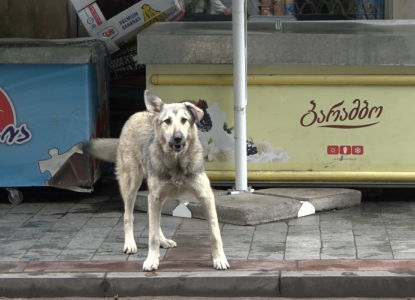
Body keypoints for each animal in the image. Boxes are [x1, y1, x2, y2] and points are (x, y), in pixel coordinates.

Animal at [88, 90, 231, 270]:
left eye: (184, 120)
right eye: (167, 121)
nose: (177, 138)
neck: (177, 163)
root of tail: (138, 113)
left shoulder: (205, 196)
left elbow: (214, 233)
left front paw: (219, 259)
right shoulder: (154, 197)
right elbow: (152, 236)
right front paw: (151, 260)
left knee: (153, 219)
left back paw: (163, 240)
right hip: (132, 184)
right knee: (129, 216)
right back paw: (130, 244)